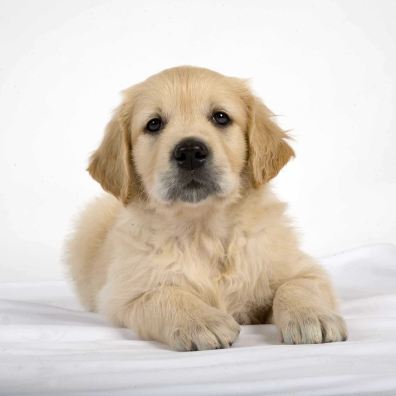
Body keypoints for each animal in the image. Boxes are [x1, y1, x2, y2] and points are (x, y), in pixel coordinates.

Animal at [65, 66, 346, 352]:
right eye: (154, 124)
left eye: (220, 117)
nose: (190, 151)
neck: (203, 229)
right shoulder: (125, 294)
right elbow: (164, 294)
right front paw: (201, 321)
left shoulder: (303, 269)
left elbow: (296, 286)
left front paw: (311, 316)